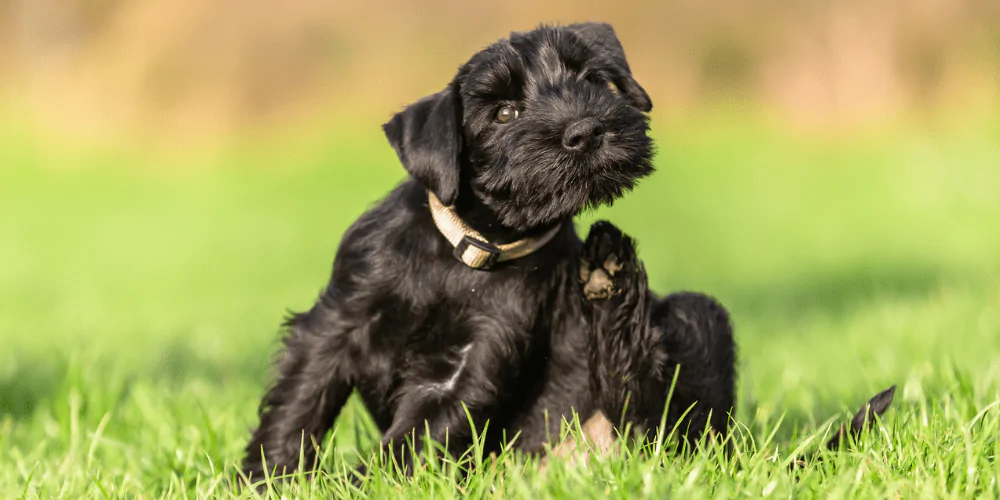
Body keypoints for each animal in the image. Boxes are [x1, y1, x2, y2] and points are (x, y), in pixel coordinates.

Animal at [245, 21, 740, 482]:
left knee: (660, 419)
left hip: (697, 318)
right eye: (504, 112)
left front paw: (362, 484)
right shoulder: (337, 323)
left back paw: (611, 272)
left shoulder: (476, 357)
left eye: (592, 79)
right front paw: (266, 478)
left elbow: (413, 437)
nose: (585, 131)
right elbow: (299, 404)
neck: (469, 251)